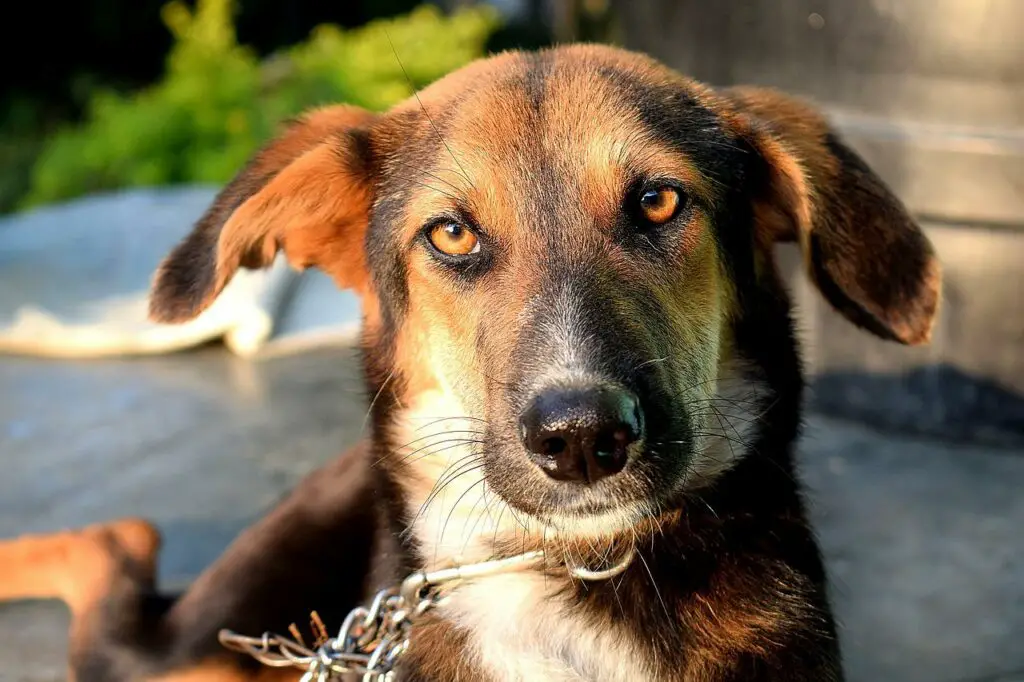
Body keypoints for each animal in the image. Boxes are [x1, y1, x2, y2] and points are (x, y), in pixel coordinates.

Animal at [0, 43, 942, 679]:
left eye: (659, 201)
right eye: (451, 233)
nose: (581, 439)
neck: (571, 572)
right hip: (187, 646)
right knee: (112, 548)